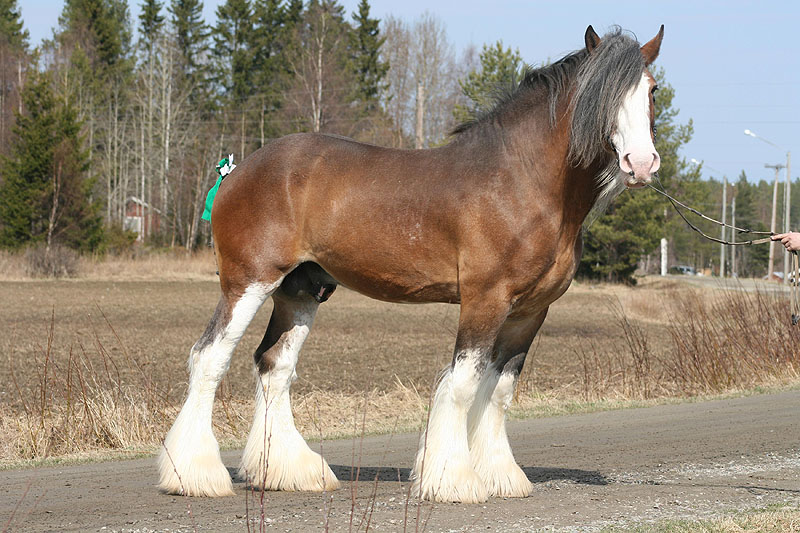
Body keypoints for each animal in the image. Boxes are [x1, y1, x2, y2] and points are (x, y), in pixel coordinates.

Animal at [158, 24, 664, 504]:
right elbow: (463, 384)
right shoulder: (485, 300)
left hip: (300, 290)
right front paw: (453, 481)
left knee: (273, 365)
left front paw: (500, 475)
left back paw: (291, 472)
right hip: (249, 281)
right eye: (601, 94)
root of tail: (238, 171)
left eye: (652, 90)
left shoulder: (529, 311)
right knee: (209, 357)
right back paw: (195, 476)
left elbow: (498, 390)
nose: (640, 164)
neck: (522, 181)